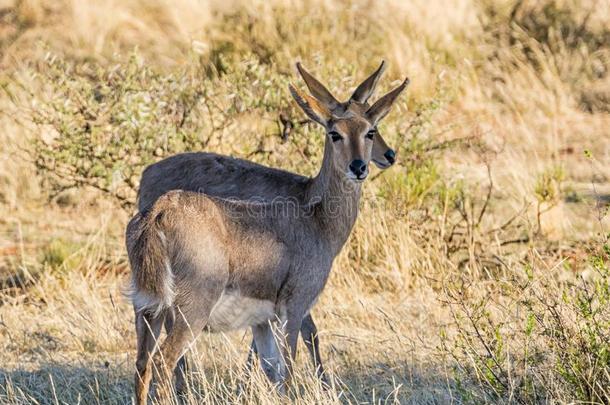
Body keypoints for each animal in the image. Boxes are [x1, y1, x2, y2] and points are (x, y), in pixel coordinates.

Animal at [125, 62, 406, 400]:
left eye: (369, 130)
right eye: (335, 133)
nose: (361, 166)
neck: (315, 216)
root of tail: (158, 212)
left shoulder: (263, 322)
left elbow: (272, 371)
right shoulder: (295, 308)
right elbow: (292, 366)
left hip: (147, 311)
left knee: (142, 365)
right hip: (187, 314)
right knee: (164, 362)